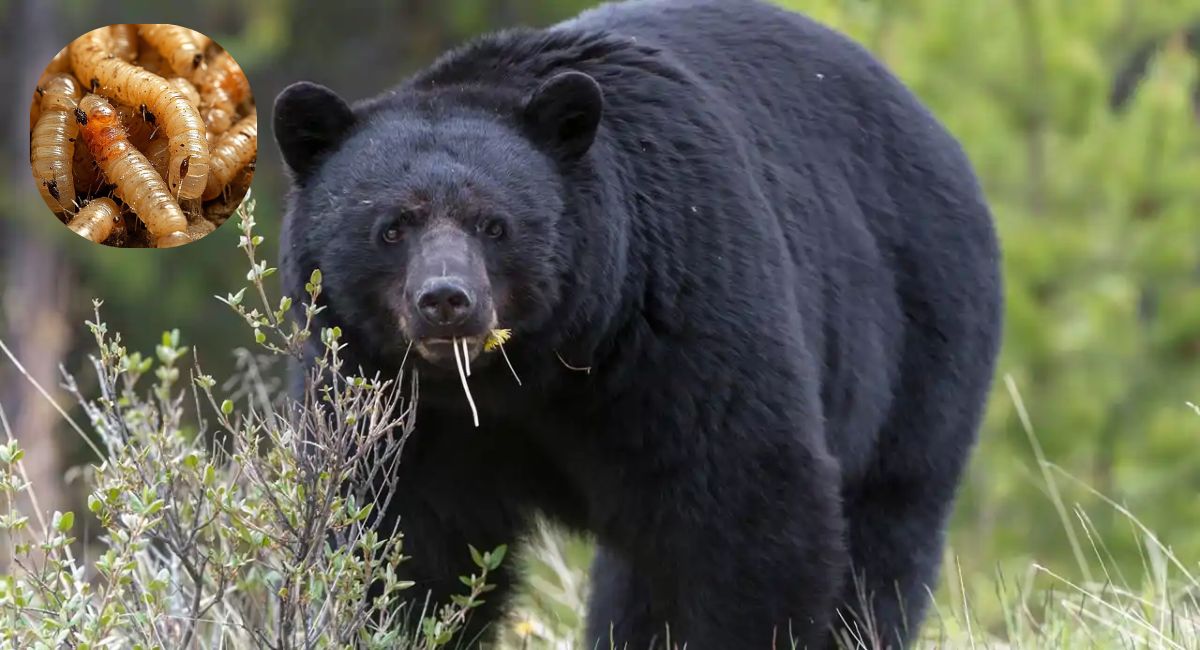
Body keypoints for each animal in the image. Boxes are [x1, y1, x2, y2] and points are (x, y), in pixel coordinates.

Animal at [272, 0, 1003, 647]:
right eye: (393, 226)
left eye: (494, 224)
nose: (447, 300)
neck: (527, 370)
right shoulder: (386, 394)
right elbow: (398, 536)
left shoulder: (678, 318)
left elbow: (747, 508)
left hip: (919, 337)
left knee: (886, 537)